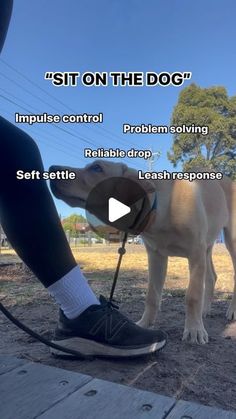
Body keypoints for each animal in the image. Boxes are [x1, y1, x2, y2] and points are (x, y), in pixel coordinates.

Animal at [50, 161, 236, 344]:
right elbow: (152, 296)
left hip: (229, 241)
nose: (52, 169)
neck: (161, 209)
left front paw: (194, 330)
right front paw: (145, 324)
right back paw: (205, 310)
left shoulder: (195, 254)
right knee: (211, 276)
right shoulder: (156, 256)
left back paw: (230, 311)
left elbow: (193, 296)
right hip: (208, 245)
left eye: (97, 168)